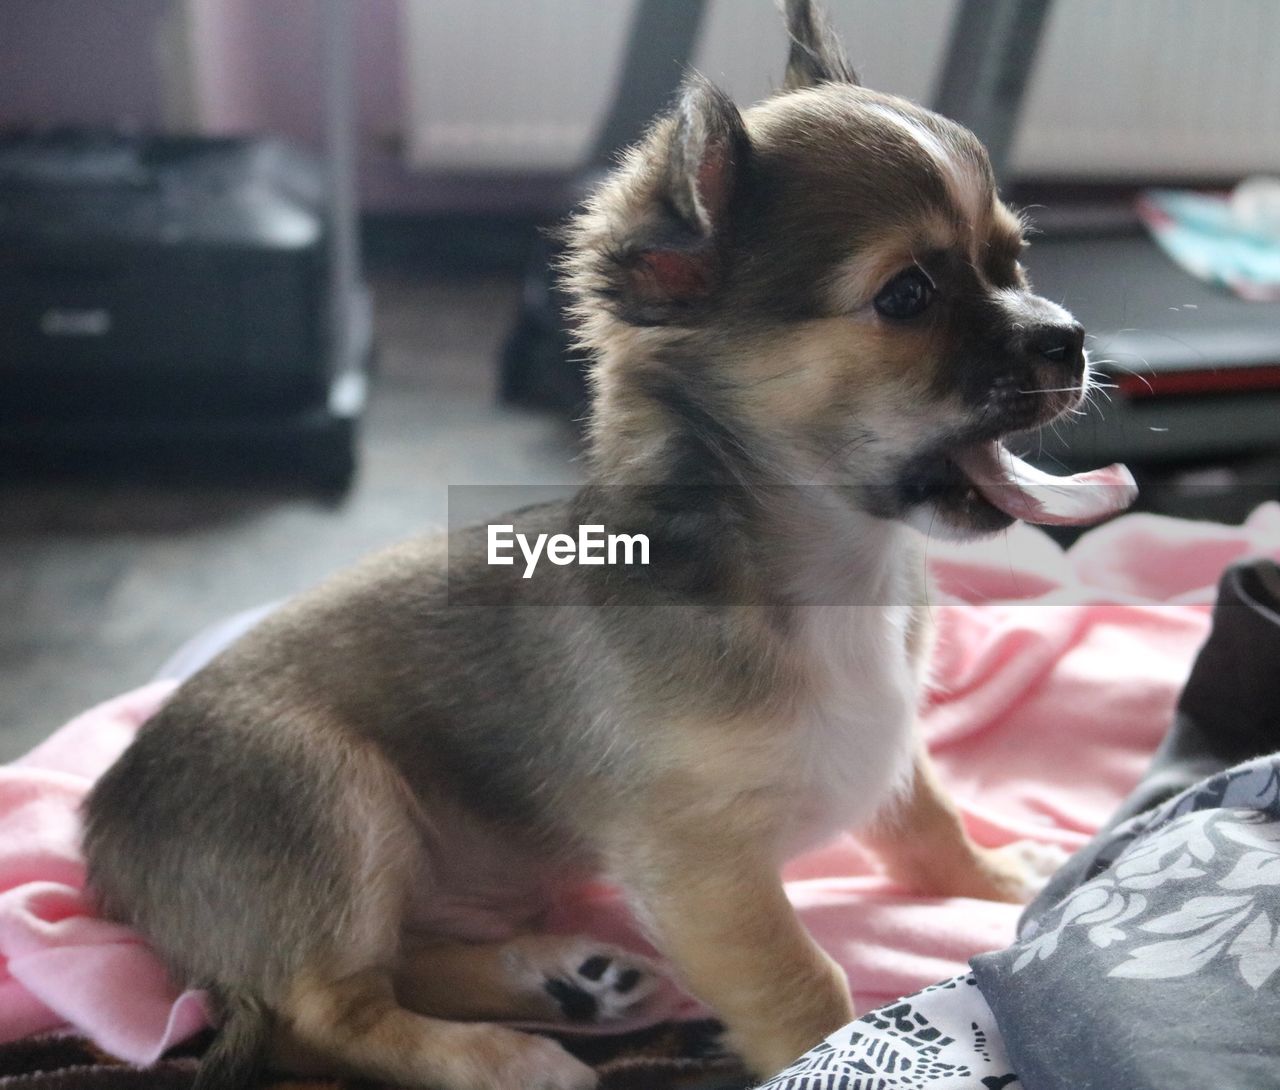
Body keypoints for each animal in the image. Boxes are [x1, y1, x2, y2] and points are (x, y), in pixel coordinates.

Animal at [85, 4, 1136, 1084]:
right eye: (907, 296)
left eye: (1013, 262)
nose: (1069, 337)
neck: (835, 572)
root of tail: (101, 836)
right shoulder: (700, 867)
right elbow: (805, 984)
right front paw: (825, 1051)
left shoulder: (883, 742)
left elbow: (927, 820)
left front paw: (993, 876)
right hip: (328, 796)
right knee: (326, 1011)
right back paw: (511, 1056)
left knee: (398, 966)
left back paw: (561, 978)